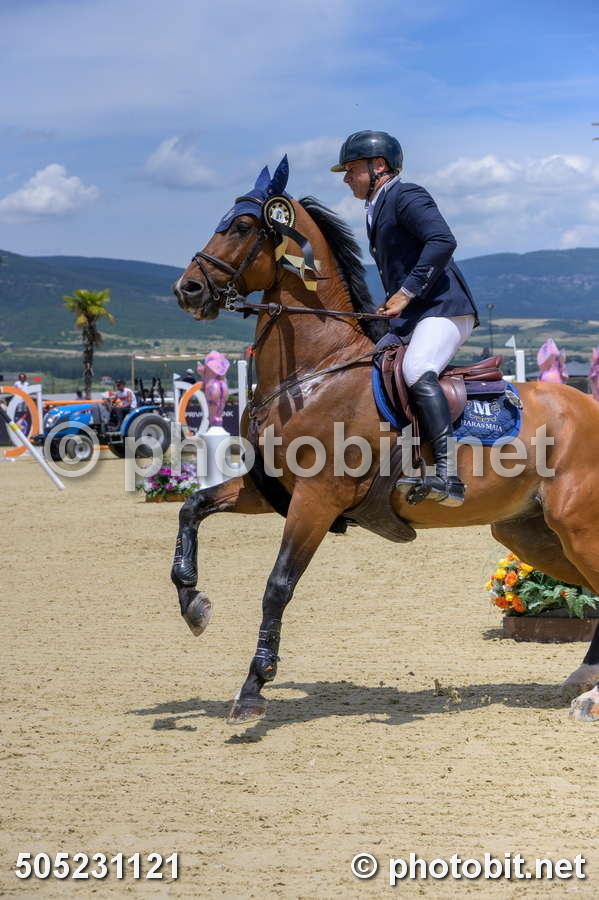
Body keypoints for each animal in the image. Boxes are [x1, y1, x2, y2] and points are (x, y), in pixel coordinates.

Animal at [171, 158, 599, 727]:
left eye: (240, 226)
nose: (188, 290)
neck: (315, 371)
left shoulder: (317, 500)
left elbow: (277, 586)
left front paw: (253, 688)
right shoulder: (271, 492)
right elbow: (193, 507)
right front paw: (194, 605)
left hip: (576, 526)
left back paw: (592, 696)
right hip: (531, 533)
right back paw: (584, 680)